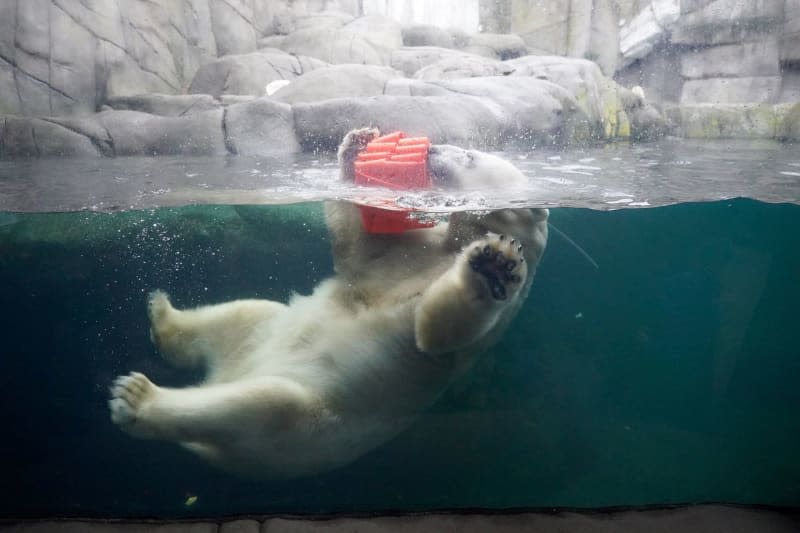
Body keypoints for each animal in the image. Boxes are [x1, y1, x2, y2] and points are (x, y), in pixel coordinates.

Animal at [109, 129, 548, 478]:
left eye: (470, 156)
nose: (435, 149)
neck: (451, 246)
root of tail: (225, 374)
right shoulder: (412, 255)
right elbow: (359, 253)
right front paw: (356, 145)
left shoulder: (482, 323)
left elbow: (435, 331)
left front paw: (493, 266)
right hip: (260, 333)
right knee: (249, 312)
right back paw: (163, 314)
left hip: (304, 427)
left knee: (264, 404)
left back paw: (139, 398)